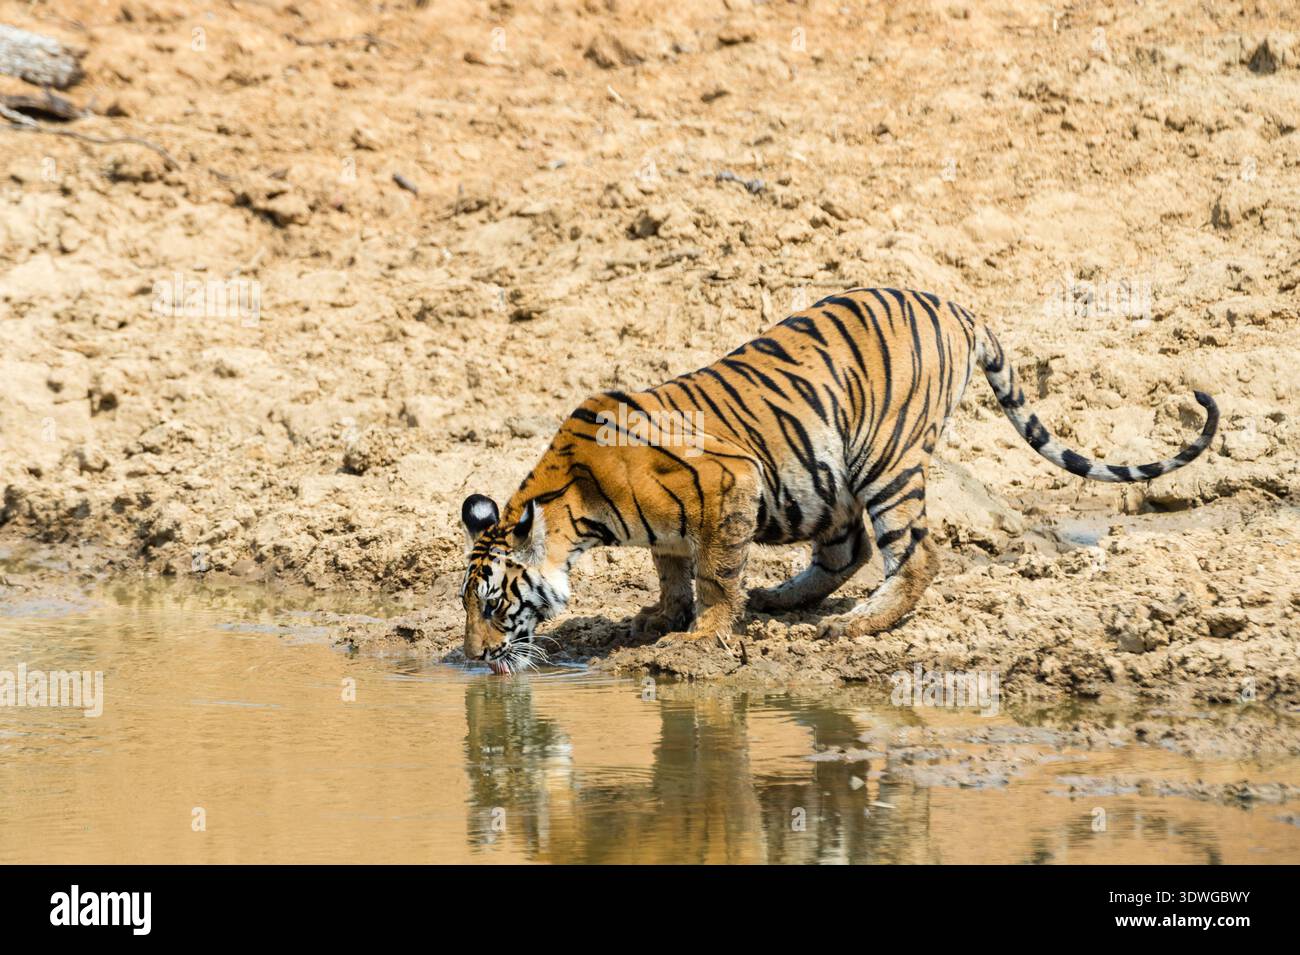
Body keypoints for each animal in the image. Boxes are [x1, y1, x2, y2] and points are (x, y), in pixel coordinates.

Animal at [459, 287, 1218, 674]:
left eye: (495, 605)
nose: (473, 658)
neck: (578, 504)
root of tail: (957, 304)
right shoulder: (676, 524)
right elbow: (673, 568)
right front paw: (660, 615)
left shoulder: (730, 482)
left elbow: (716, 574)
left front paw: (700, 636)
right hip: (826, 476)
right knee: (846, 550)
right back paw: (782, 599)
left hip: (886, 458)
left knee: (916, 554)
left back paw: (857, 625)